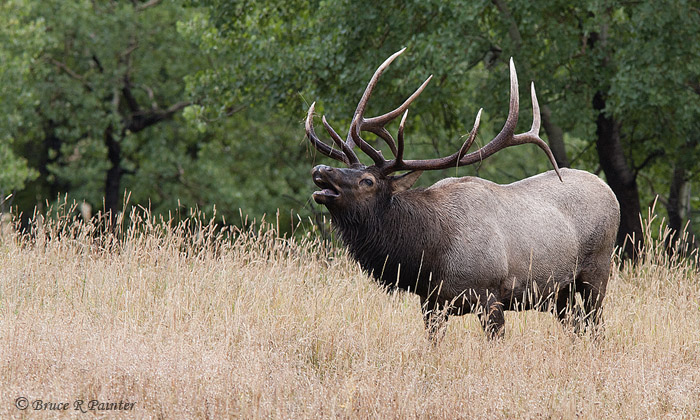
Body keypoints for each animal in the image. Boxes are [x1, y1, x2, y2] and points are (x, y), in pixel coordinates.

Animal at [305, 49, 620, 339]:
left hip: (597, 269)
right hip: (560, 293)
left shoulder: (489, 294)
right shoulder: (431, 302)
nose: (321, 168)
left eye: (368, 180)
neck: (429, 257)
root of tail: (609, 190)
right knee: (576, 325)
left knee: (596, 325)